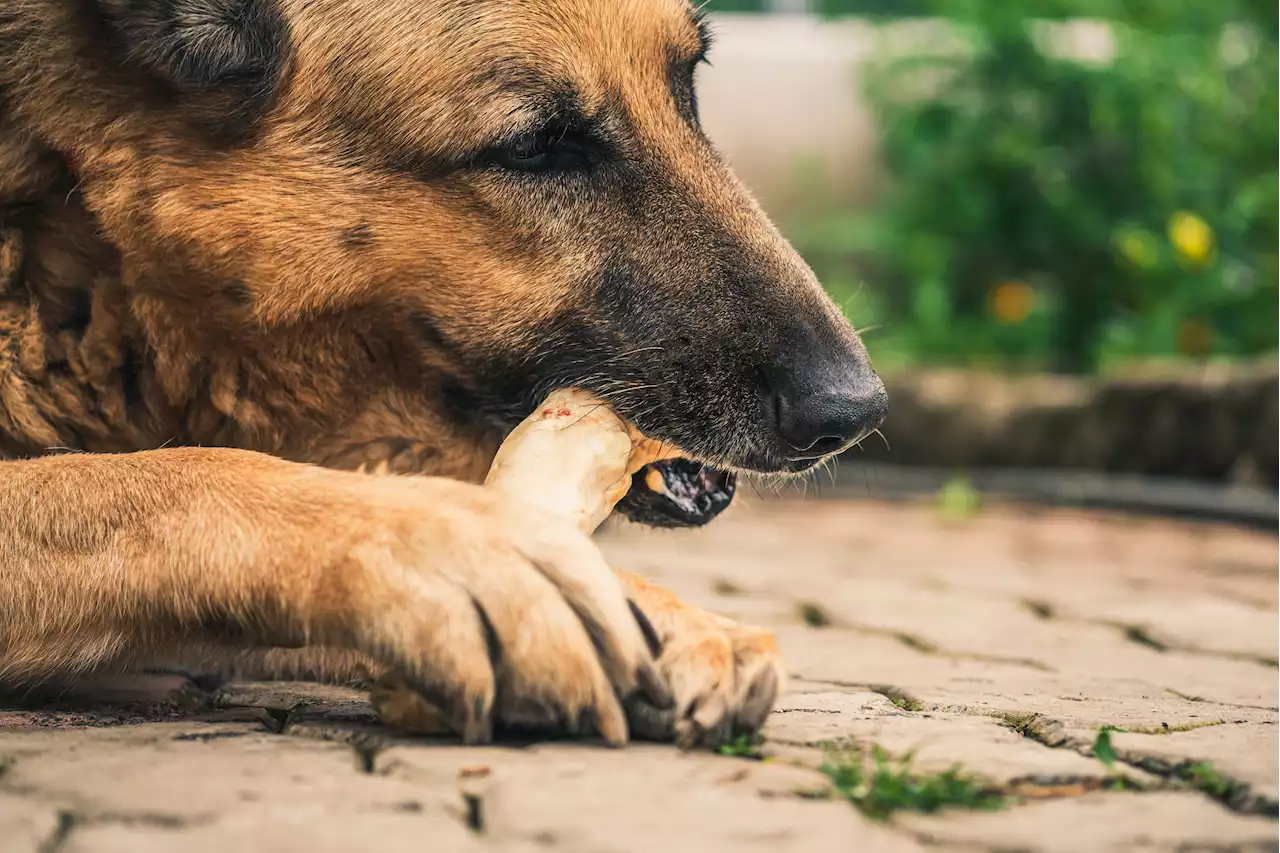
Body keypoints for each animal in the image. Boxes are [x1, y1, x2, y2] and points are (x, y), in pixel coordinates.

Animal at [0, 0, 880, 742]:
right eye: (534, 147)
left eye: (687, 85)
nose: (857, 411)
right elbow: (174, 475)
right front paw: (464, 552)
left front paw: (654, 610)